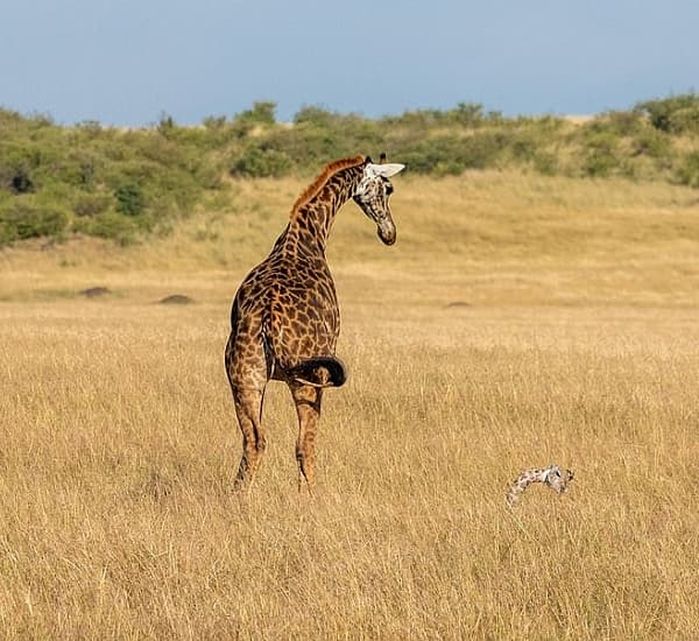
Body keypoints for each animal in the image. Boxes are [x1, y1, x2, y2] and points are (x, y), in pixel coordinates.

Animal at [224, 154, 404, 490]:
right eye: (388, 188)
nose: (389, 233)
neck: (309, 234)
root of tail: (267, 319)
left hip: (243, 377)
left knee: (254, 440)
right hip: (310, 379)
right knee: (303, 444)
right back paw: (311, 496)